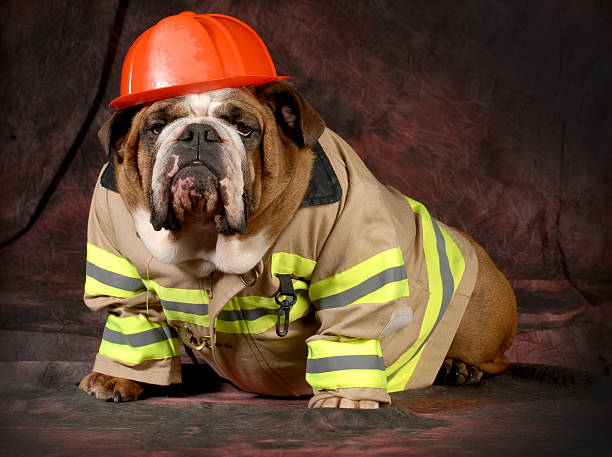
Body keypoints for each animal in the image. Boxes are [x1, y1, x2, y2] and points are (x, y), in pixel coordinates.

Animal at [77, 81, 516, 406]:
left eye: (244, 128)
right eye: (156, 127)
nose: (198, 133)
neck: (205, 236)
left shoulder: (351, 251)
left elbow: (348, 321)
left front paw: (345, 397)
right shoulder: (115, 257)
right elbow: (132, 318)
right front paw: (118, 378)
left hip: (477, 321)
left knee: (496, 360)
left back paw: (459, 367)